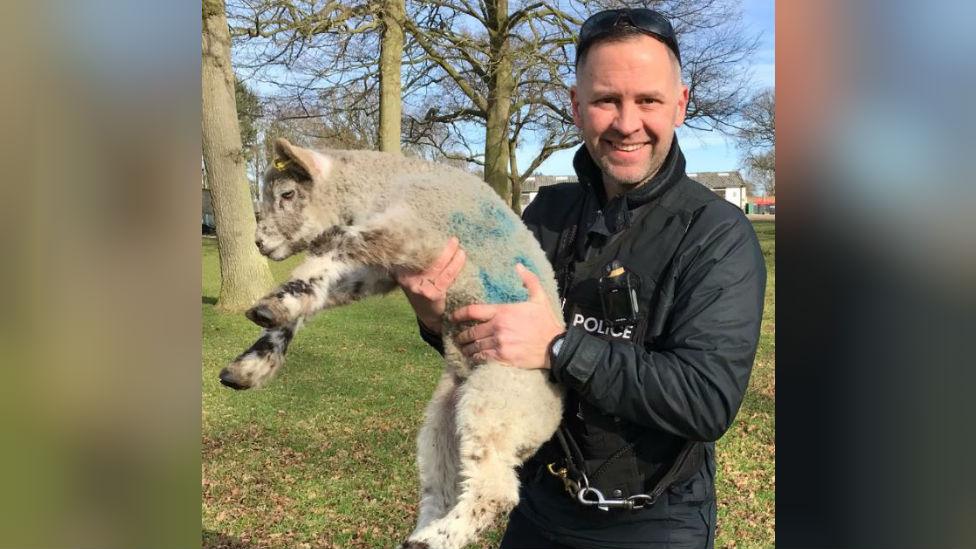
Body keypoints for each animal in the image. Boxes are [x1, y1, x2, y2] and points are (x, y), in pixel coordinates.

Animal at [216, 138, 560, 548]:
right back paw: (421, 534)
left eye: (287, 194)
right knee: (441, 488)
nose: (259, 242)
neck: (388, 182)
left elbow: (339, 246)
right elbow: (324, 288)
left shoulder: (411, 231)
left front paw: (272, 305)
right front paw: (253, 359)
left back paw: (430, 540)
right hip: (443, 421)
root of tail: (551, 419)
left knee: (495, 491)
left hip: (497, 400)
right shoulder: (381, 270)